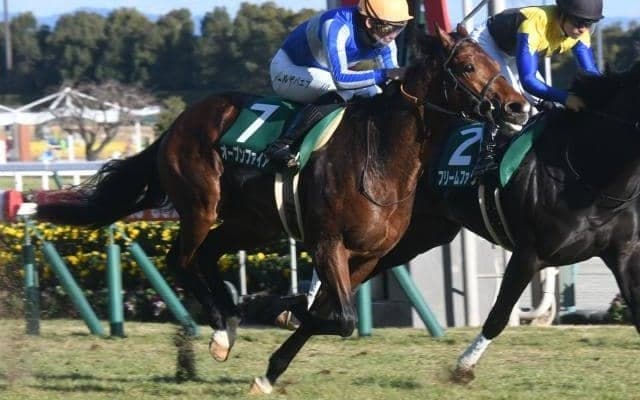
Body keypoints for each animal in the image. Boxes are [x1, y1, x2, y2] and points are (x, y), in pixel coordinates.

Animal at [33, 25, 529, 392]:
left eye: (496, 62)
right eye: (467, 65)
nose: (517, 107)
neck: (380, 157)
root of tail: (177, 123)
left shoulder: (368, 257)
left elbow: (329, 316)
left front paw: (270, 369)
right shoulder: (327, 243)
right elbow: (339, 318)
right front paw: (277, 309)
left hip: (254, 224)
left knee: (207, 255)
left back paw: (229, 319)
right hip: (200, 204)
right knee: (181, 260)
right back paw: (219, 329)